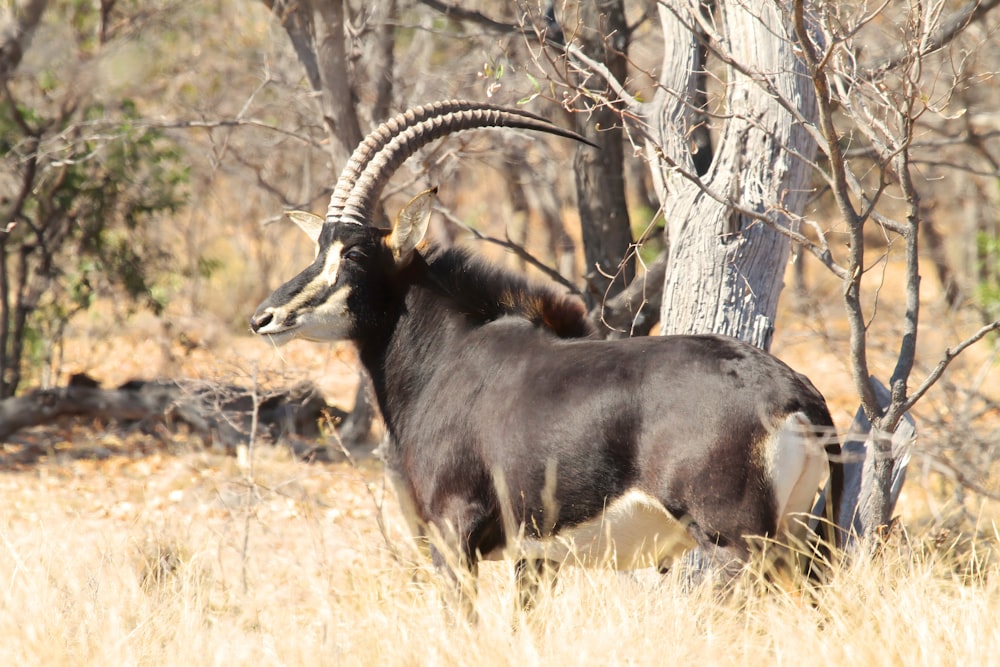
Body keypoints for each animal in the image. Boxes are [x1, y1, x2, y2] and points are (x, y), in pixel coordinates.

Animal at [250, 99, 844, 604]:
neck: (447, 358)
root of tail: (797, 397)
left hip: (734, 542)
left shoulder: (453, 532)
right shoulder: (535, 556)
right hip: (797, 543)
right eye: (318, 248)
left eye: (352, 254)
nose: (264, 318)